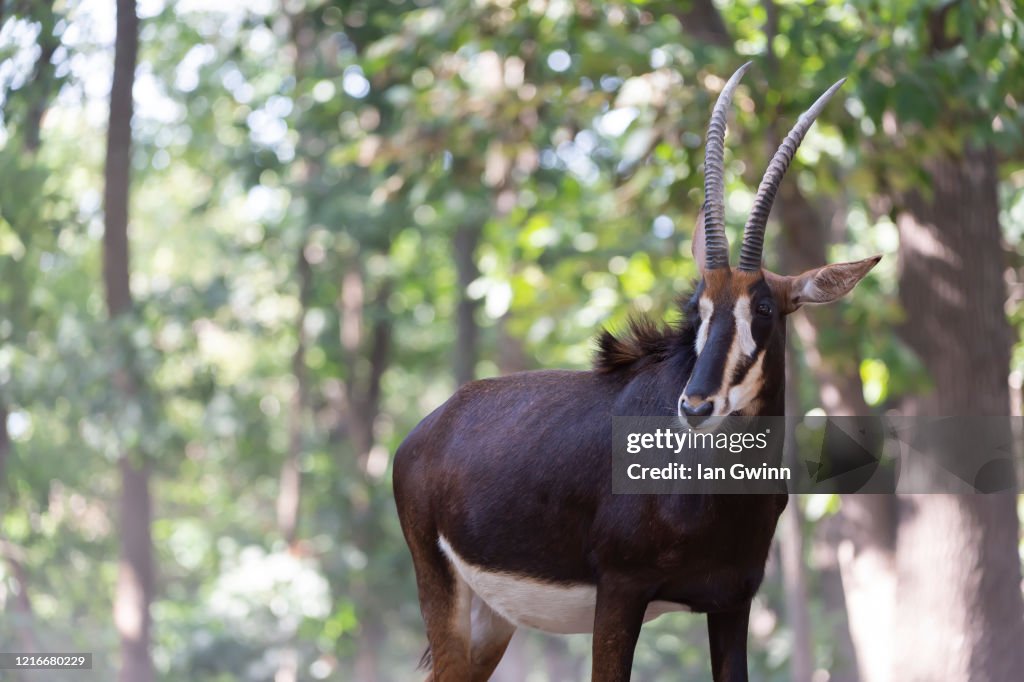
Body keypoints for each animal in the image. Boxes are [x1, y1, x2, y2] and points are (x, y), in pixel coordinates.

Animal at [391, 61, 880, 675]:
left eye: (764, 309)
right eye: (698, 307)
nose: (695, 406)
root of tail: (424, 432)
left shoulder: (733, 600)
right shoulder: (621, 591)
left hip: (493, 618)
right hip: (445, 593)